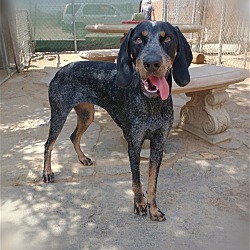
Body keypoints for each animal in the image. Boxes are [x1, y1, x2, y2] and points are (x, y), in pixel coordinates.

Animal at [43, 21, 192, 221]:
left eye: (167, 38)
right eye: (138, 39)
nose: (152, 63)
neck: (151, 103)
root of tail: (61, 70)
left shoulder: (158, 144)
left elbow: (152, 183)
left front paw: (153, 209)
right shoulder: (134, 144)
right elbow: (136, 181)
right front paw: (139, 205)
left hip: (87, 114)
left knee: (74, 136)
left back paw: (82, 159)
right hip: (59, 114)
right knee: (48, 144)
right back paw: (47, 172)